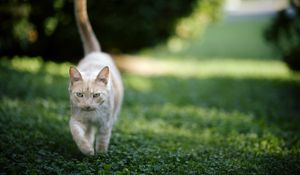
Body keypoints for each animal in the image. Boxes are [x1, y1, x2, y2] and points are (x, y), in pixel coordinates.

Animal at [68, 0, 123, 156]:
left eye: (96, 95)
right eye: (80, 95)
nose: (87, 105)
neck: (91, 116)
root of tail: (95, 52)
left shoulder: (105, 124)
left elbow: (103, 140)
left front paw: (101, 155)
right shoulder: (75, 120)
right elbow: (78, 135)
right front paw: (87, 150)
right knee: (89, 132)